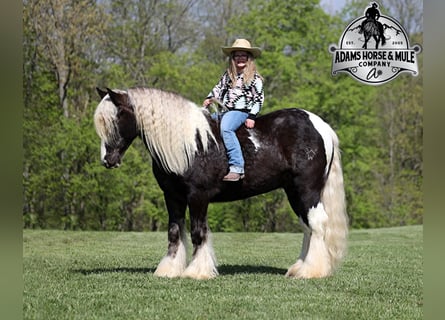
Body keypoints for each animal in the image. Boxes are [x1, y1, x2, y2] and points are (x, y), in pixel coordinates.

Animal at [93, 86, 348, 278]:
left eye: (117, 117)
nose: (107, 159)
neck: (190, 144)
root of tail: (321, 126)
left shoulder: (198, 196)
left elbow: (198, 232)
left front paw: (196, 271)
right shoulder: (172, 196)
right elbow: (174, 232)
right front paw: (169, 270)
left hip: (307, 189)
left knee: (318, 223)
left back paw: (312, 271)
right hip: (293, 191)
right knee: (307, 226)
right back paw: (298, 268)